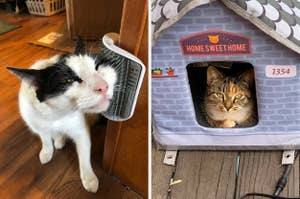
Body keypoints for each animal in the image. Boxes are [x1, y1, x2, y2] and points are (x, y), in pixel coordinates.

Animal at [6, 38, 117, 192]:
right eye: (69, 81)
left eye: (97, 67)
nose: (103, 86)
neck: (57, 114)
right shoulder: (39, 125)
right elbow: (45, 139)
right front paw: (47, 151)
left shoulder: (80, 130)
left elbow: (84, 154)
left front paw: (89, 178)